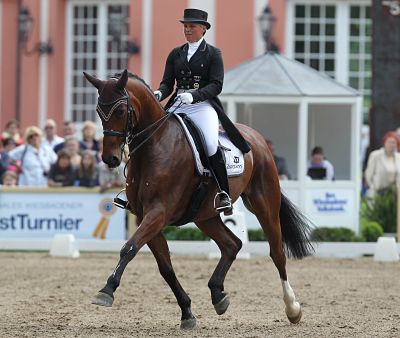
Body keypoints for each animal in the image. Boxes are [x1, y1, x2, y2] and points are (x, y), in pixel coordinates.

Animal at [83, 69, 312, 330]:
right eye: (98, 111)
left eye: (121, 110)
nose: (109, 159)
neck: (155, 146)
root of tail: (257, 139)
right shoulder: (145, 217)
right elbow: (165, 267)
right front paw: (187, 313)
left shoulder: (158, 212)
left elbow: (128, 248)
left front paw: (106, 290)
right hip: (205, 215)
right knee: (232, 244)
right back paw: (218, 294)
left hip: (265, 206)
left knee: (277, 253)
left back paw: (292, 309)